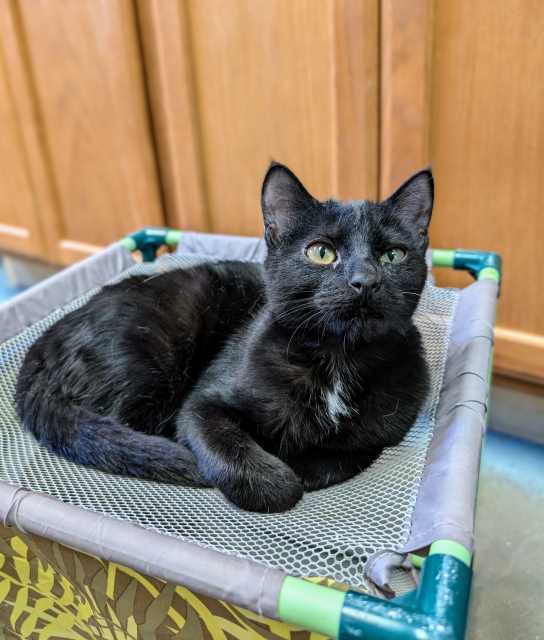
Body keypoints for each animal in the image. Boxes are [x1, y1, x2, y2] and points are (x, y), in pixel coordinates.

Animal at [14, 164, 432, 516]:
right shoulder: (202, 404)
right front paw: (274, 480)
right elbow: (229, 445)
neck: (337, 360)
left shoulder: (381, 433)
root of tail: (45, 342)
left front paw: (298, 464)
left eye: (393, 255)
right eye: (321, 252)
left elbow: (343, 455)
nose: (365, 280)